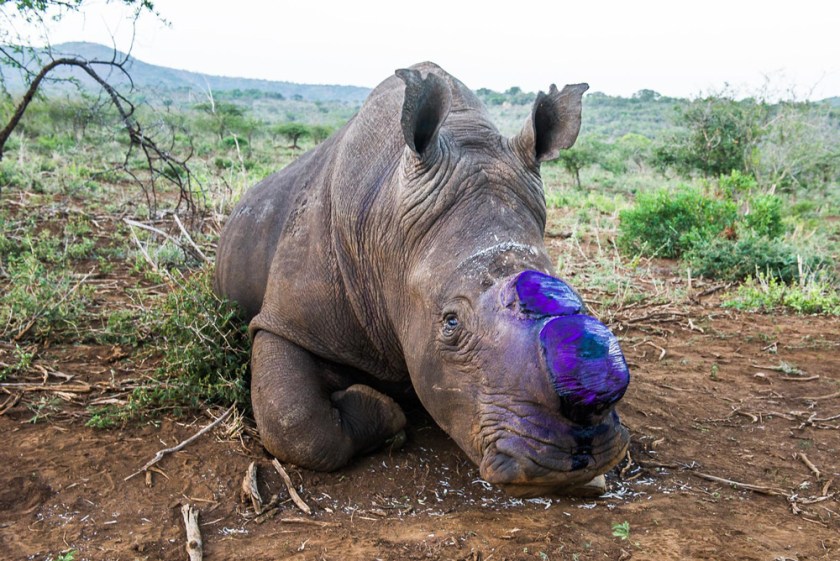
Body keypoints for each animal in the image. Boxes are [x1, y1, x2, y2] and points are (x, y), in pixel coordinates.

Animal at [215, 62, 630, 497]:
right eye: (451, 322)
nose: (565, 461)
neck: (389, 232)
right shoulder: (287, 322)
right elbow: (293, 420)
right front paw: (387, 417)